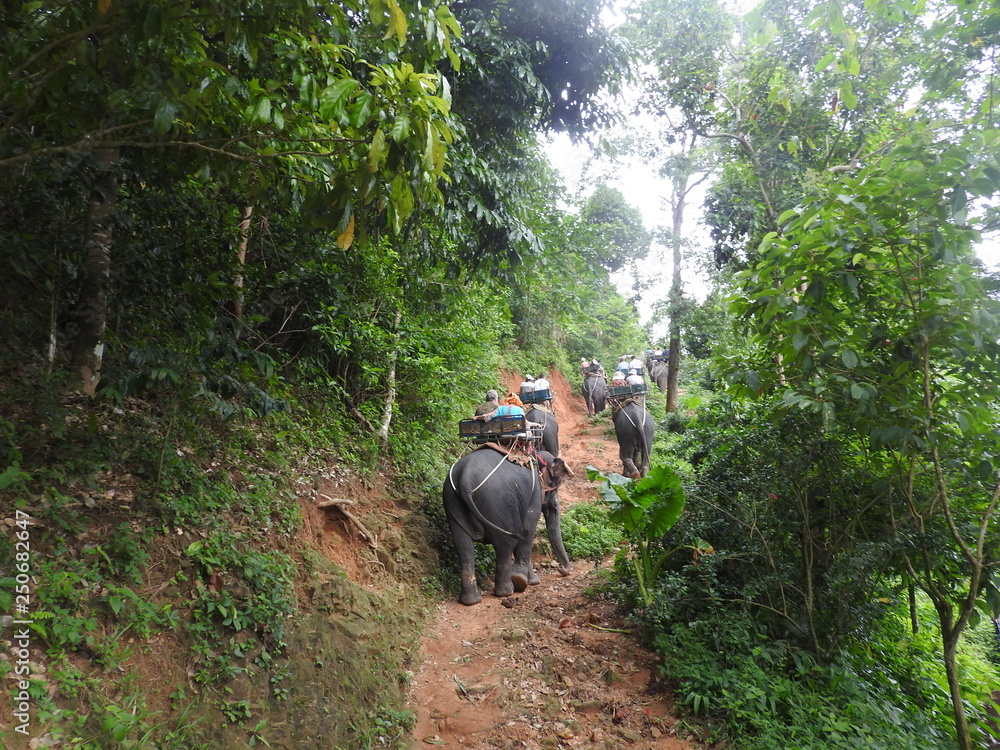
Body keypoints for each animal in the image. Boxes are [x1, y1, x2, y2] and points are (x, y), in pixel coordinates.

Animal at [444, 450, 576, 608]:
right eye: (556, 488)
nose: (561, 569)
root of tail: (465, 480)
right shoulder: (534, 496)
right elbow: (528, 530)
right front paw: (528, 580)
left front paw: (531, 580)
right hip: (499, 505)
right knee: (505, 544)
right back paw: (507, 591)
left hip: (452, 501)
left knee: (463, 546)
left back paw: (471, 601)